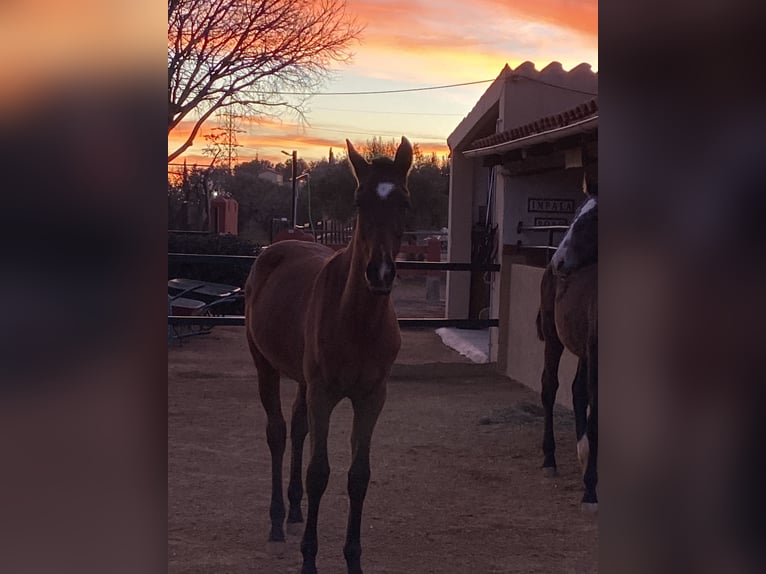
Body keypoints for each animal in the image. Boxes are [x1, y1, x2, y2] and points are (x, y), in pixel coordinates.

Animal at [244, 137, 414, 572]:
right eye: (358, 200)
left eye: (403, 201)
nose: (380, 273)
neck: (355, 320)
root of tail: (278, 245)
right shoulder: (324, 393)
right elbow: (318, 473)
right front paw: (309, 558)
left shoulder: (372, 397)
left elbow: (358, 476)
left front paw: (353, 559)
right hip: (265, 366)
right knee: (278, 432)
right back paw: (277, 520)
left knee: (298, 427)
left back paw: (293, 509)